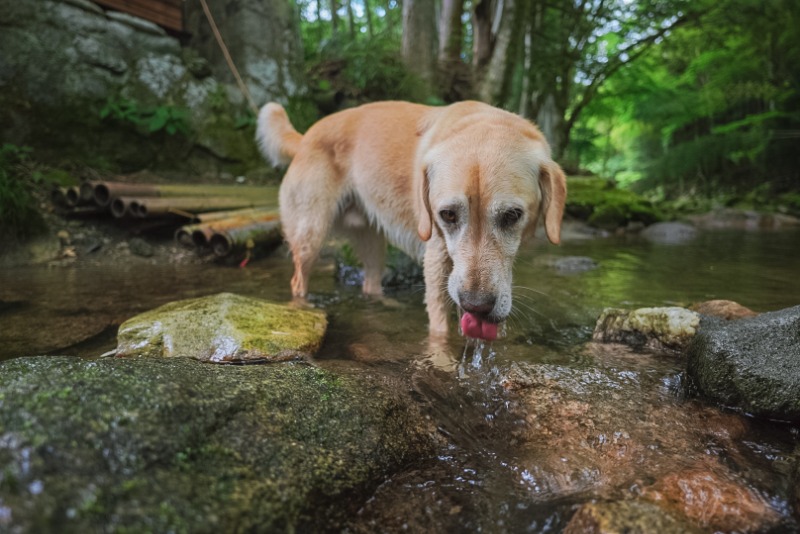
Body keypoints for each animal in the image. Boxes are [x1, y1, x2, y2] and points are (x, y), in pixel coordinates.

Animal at [255, 101, 564, 344]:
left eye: (512, 215)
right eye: (447, 215)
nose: (476, 306)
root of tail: (306, 136)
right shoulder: (437, 255)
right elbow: (439, 325)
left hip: (371, 241)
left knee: (370, 282)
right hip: (311, 233)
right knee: (298, 280)